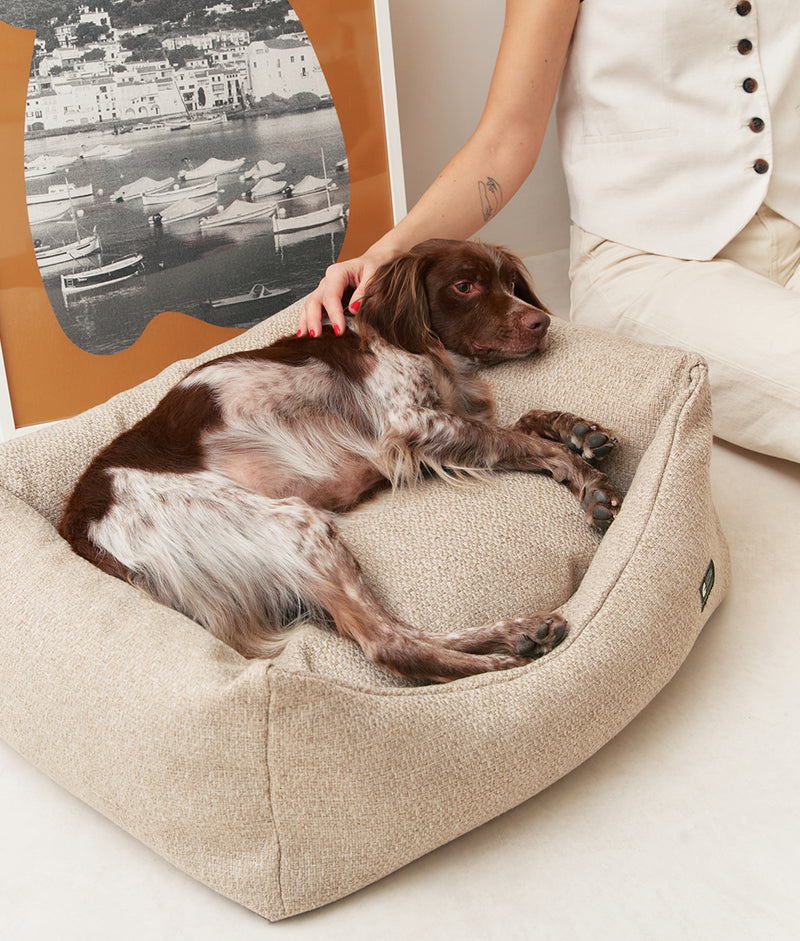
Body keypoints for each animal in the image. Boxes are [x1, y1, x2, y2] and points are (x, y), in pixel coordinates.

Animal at [59, 239, 620, 684]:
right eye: (465, 286)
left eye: (510, 283)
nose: (541, 322)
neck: (425, 350)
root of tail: (82, 529)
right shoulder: (413, 424)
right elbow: (521, 442)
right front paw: (591, 484)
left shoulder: (443, 422)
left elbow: (526, 422)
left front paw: (579, 430)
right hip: (294, 524)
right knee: (389, 643)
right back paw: (501, 664)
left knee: (396, 630)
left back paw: (522, 631)